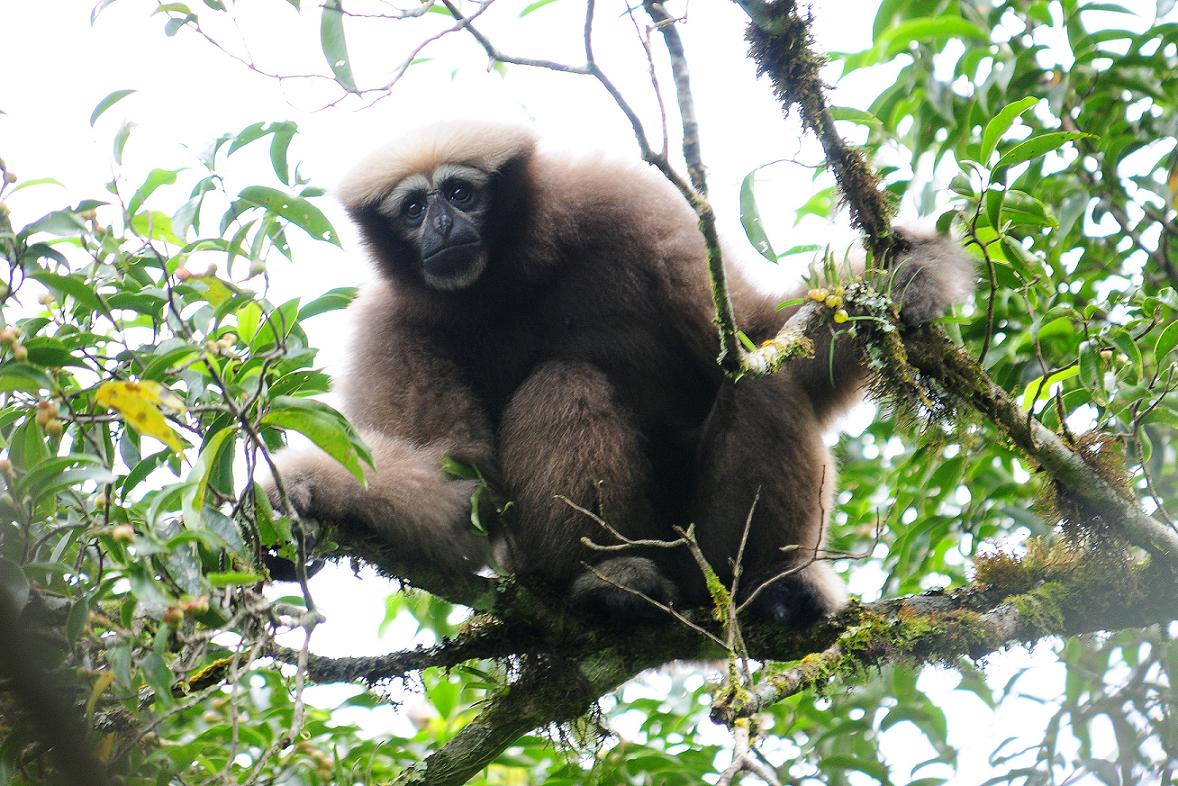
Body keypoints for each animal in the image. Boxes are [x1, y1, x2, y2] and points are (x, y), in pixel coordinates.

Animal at [266, 120, 975, 627]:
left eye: (460, 192)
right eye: (412, 209)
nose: (440, 225)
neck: (509, 283)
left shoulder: (632, 204)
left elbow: (758, 339)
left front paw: (911, 276)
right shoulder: (388, 330)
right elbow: (458, 490)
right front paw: (302, 487)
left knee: (758, 379)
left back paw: (766, 589)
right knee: (566, 381)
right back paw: (613, 582)